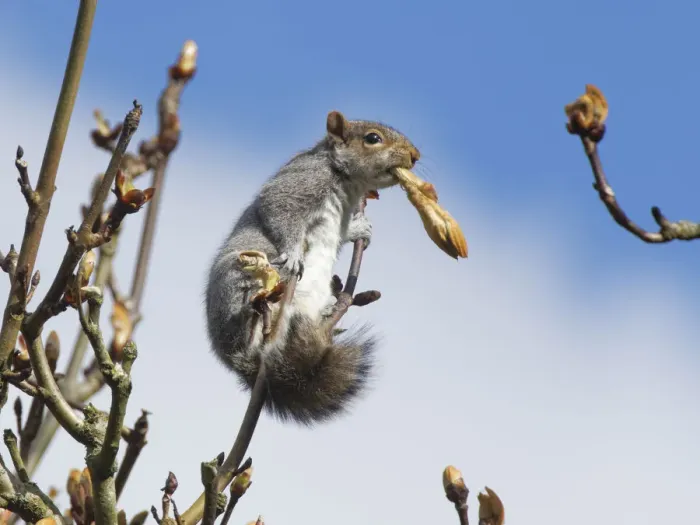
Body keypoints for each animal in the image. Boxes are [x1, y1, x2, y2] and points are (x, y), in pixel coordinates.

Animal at [205, 110, 420, 425]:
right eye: (373, 138)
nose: (415, 156)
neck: (347, 181)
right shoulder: (300, 182)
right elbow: (278, 211)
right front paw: (294, 255)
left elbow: (342, 233)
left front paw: (361, 229)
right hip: (240, 278)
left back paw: (328, 311)